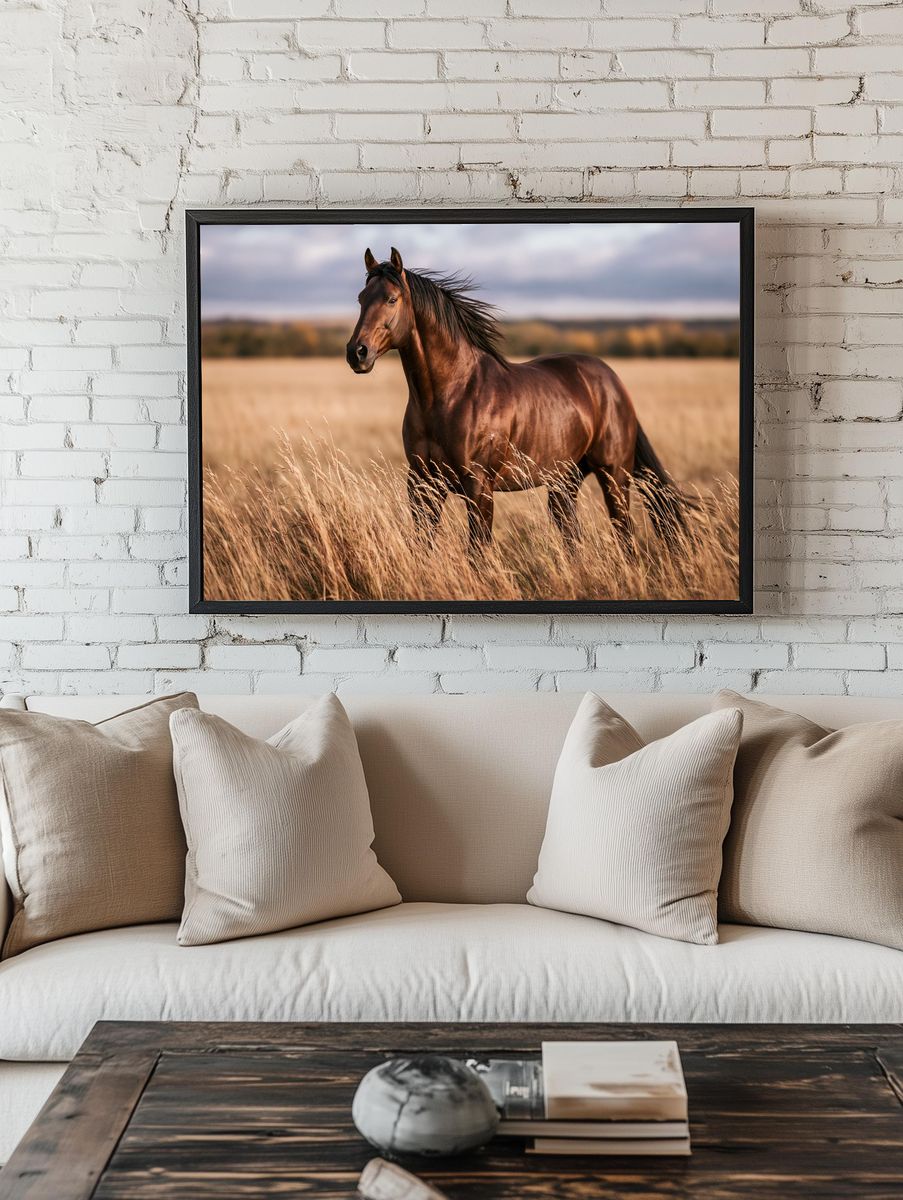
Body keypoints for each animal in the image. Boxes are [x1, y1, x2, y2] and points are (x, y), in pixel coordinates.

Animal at [346, 246, 685, 554]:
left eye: (392, 299)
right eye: (361, 298)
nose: (357, 353)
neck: (450, 395)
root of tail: (613, 382)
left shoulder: (478, 487)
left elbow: (477, 551)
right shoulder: (422, 484)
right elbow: (422, 546)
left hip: (614, 474)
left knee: (624, 533)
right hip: (564, 481)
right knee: (572, 536)